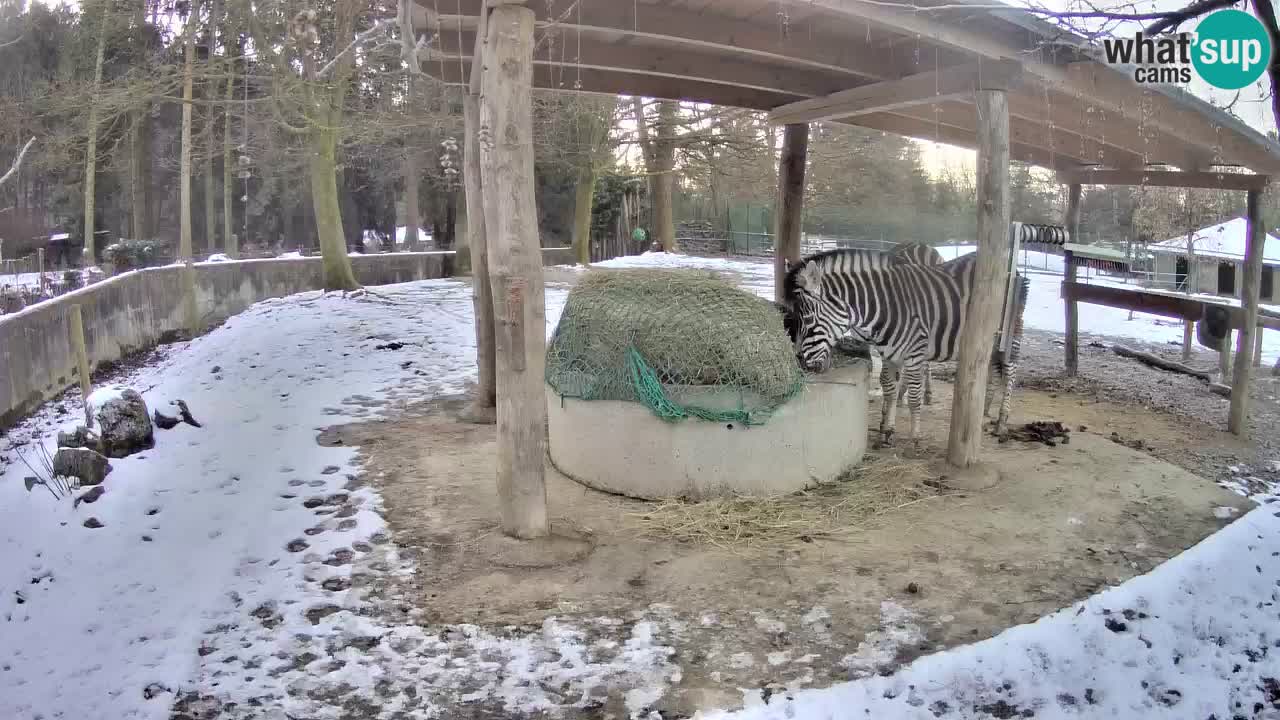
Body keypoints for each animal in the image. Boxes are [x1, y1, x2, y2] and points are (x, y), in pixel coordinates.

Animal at [778, 249, 1029, 445]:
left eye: (807, 318)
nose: (801, 362)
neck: (881, 306)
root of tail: (1009, 265)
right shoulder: (888, 351)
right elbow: (888, 387)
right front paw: (887, 430)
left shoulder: (915, 351)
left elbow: (914, 395)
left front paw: (914, 437)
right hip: (990, 341)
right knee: (993, 369)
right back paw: (983, 411)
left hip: (1011, 333)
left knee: (1010, 373)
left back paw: (1002, 422)